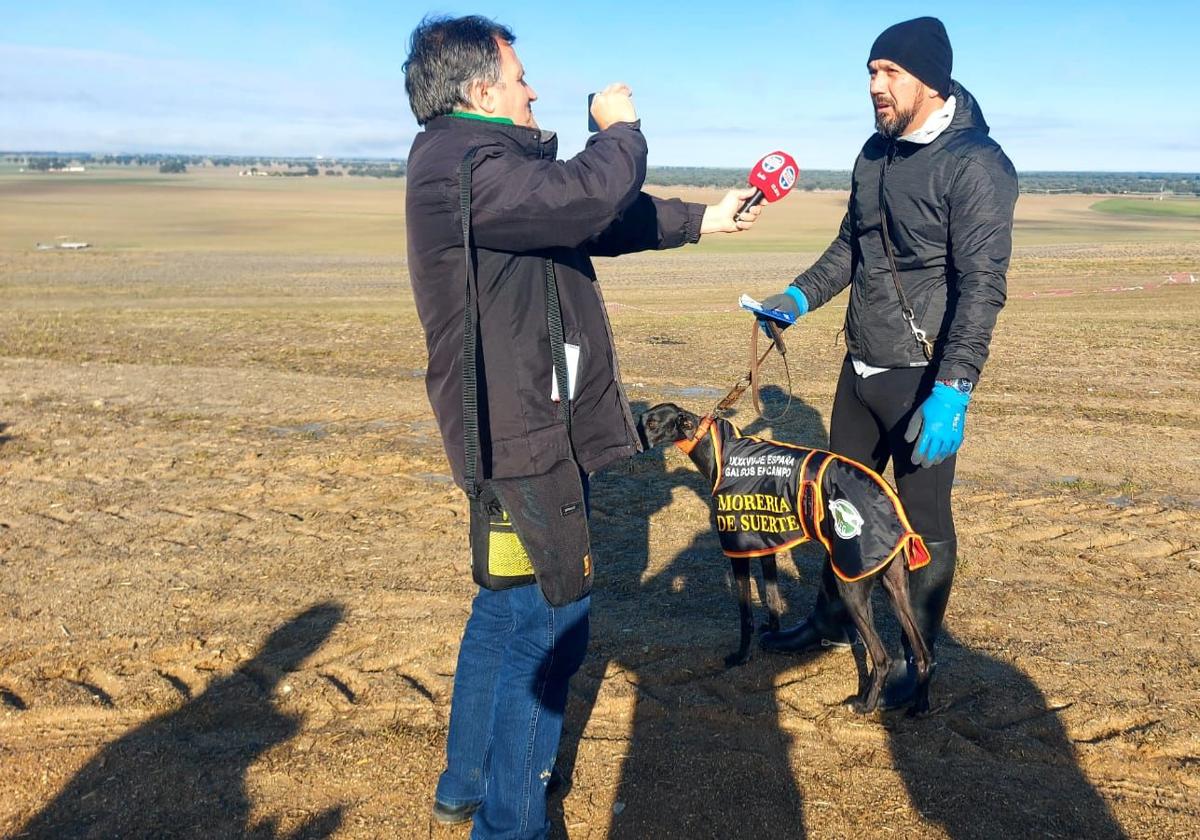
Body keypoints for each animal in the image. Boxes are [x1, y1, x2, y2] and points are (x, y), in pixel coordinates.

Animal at [643, 400, 931, 715]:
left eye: (653, 424)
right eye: (642, 419)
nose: (637, 444)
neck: (718, 449)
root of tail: (893, 507)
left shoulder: (738, 552)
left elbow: (745, 614)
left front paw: (741, 656)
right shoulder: (764, 542)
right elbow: (772, 598)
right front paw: (773, 633)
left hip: (851, 586)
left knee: (881, 658)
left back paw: (866, 704)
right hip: (895, 589)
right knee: (924, 655)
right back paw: (920, 706)